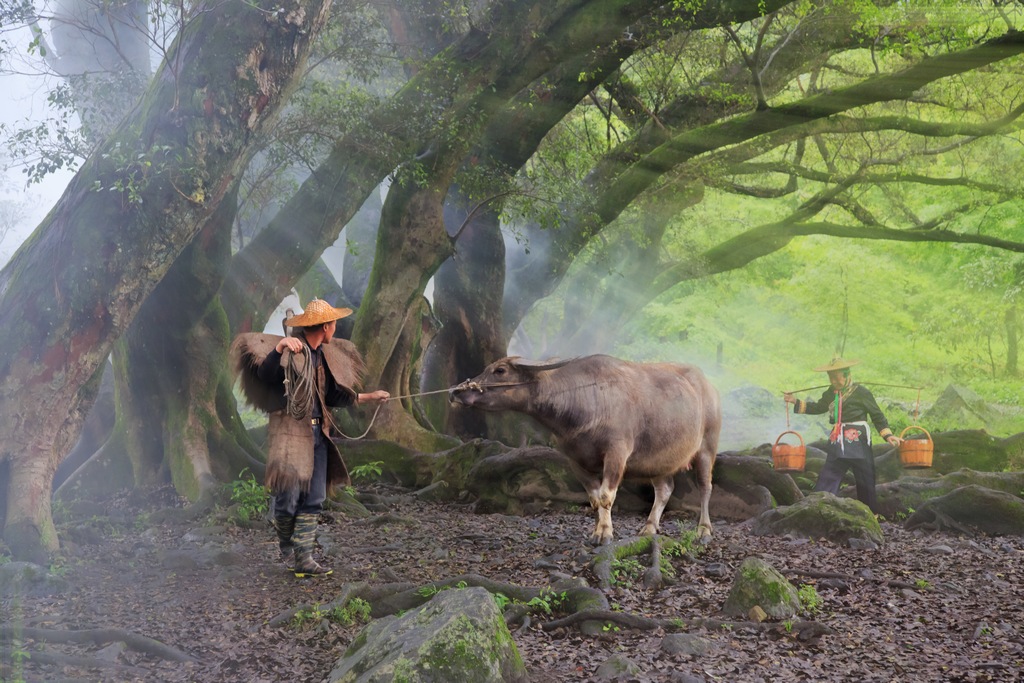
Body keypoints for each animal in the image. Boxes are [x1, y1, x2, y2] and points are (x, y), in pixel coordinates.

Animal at [448, 358, 720, 544]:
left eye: (500, 370)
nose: (456, 391)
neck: (586, 399)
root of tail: (707, 385)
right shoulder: (576, 461)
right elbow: (594, 497)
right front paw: (597, 530)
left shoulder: (616, 453)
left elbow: (606, 496)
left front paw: (605, 533)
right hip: (659, 459)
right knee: (664, 489)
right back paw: (649, 527)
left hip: (708, 447)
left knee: (705, 487)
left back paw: (704, 530)